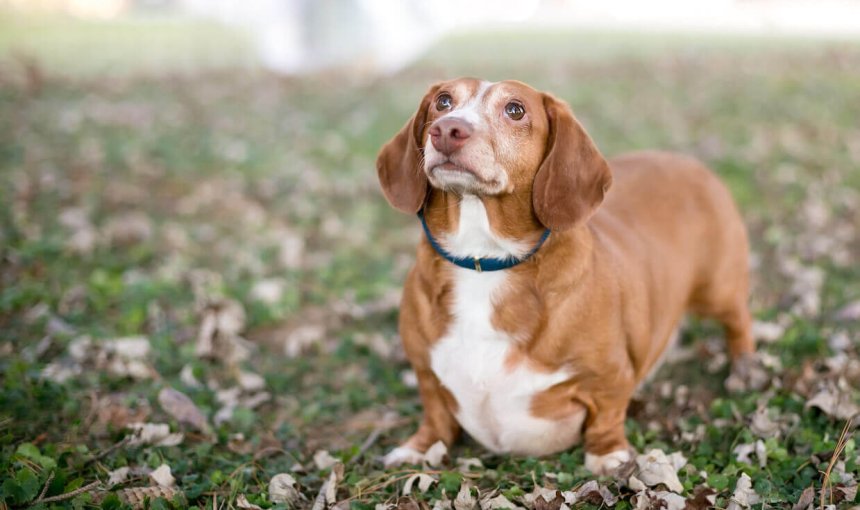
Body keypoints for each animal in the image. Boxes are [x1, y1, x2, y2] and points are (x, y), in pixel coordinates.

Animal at [376, 76, 752, 474]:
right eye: (444, 102)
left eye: (515, 109)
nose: (447, 130)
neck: (483, 259)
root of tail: (687, 161)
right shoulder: (425, 372)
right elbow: (434, 415)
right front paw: (419, 448)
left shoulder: (610, 378)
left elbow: (606, 416)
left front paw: (607, 456)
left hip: (718, 290)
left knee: (739, 321)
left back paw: (743, 370)